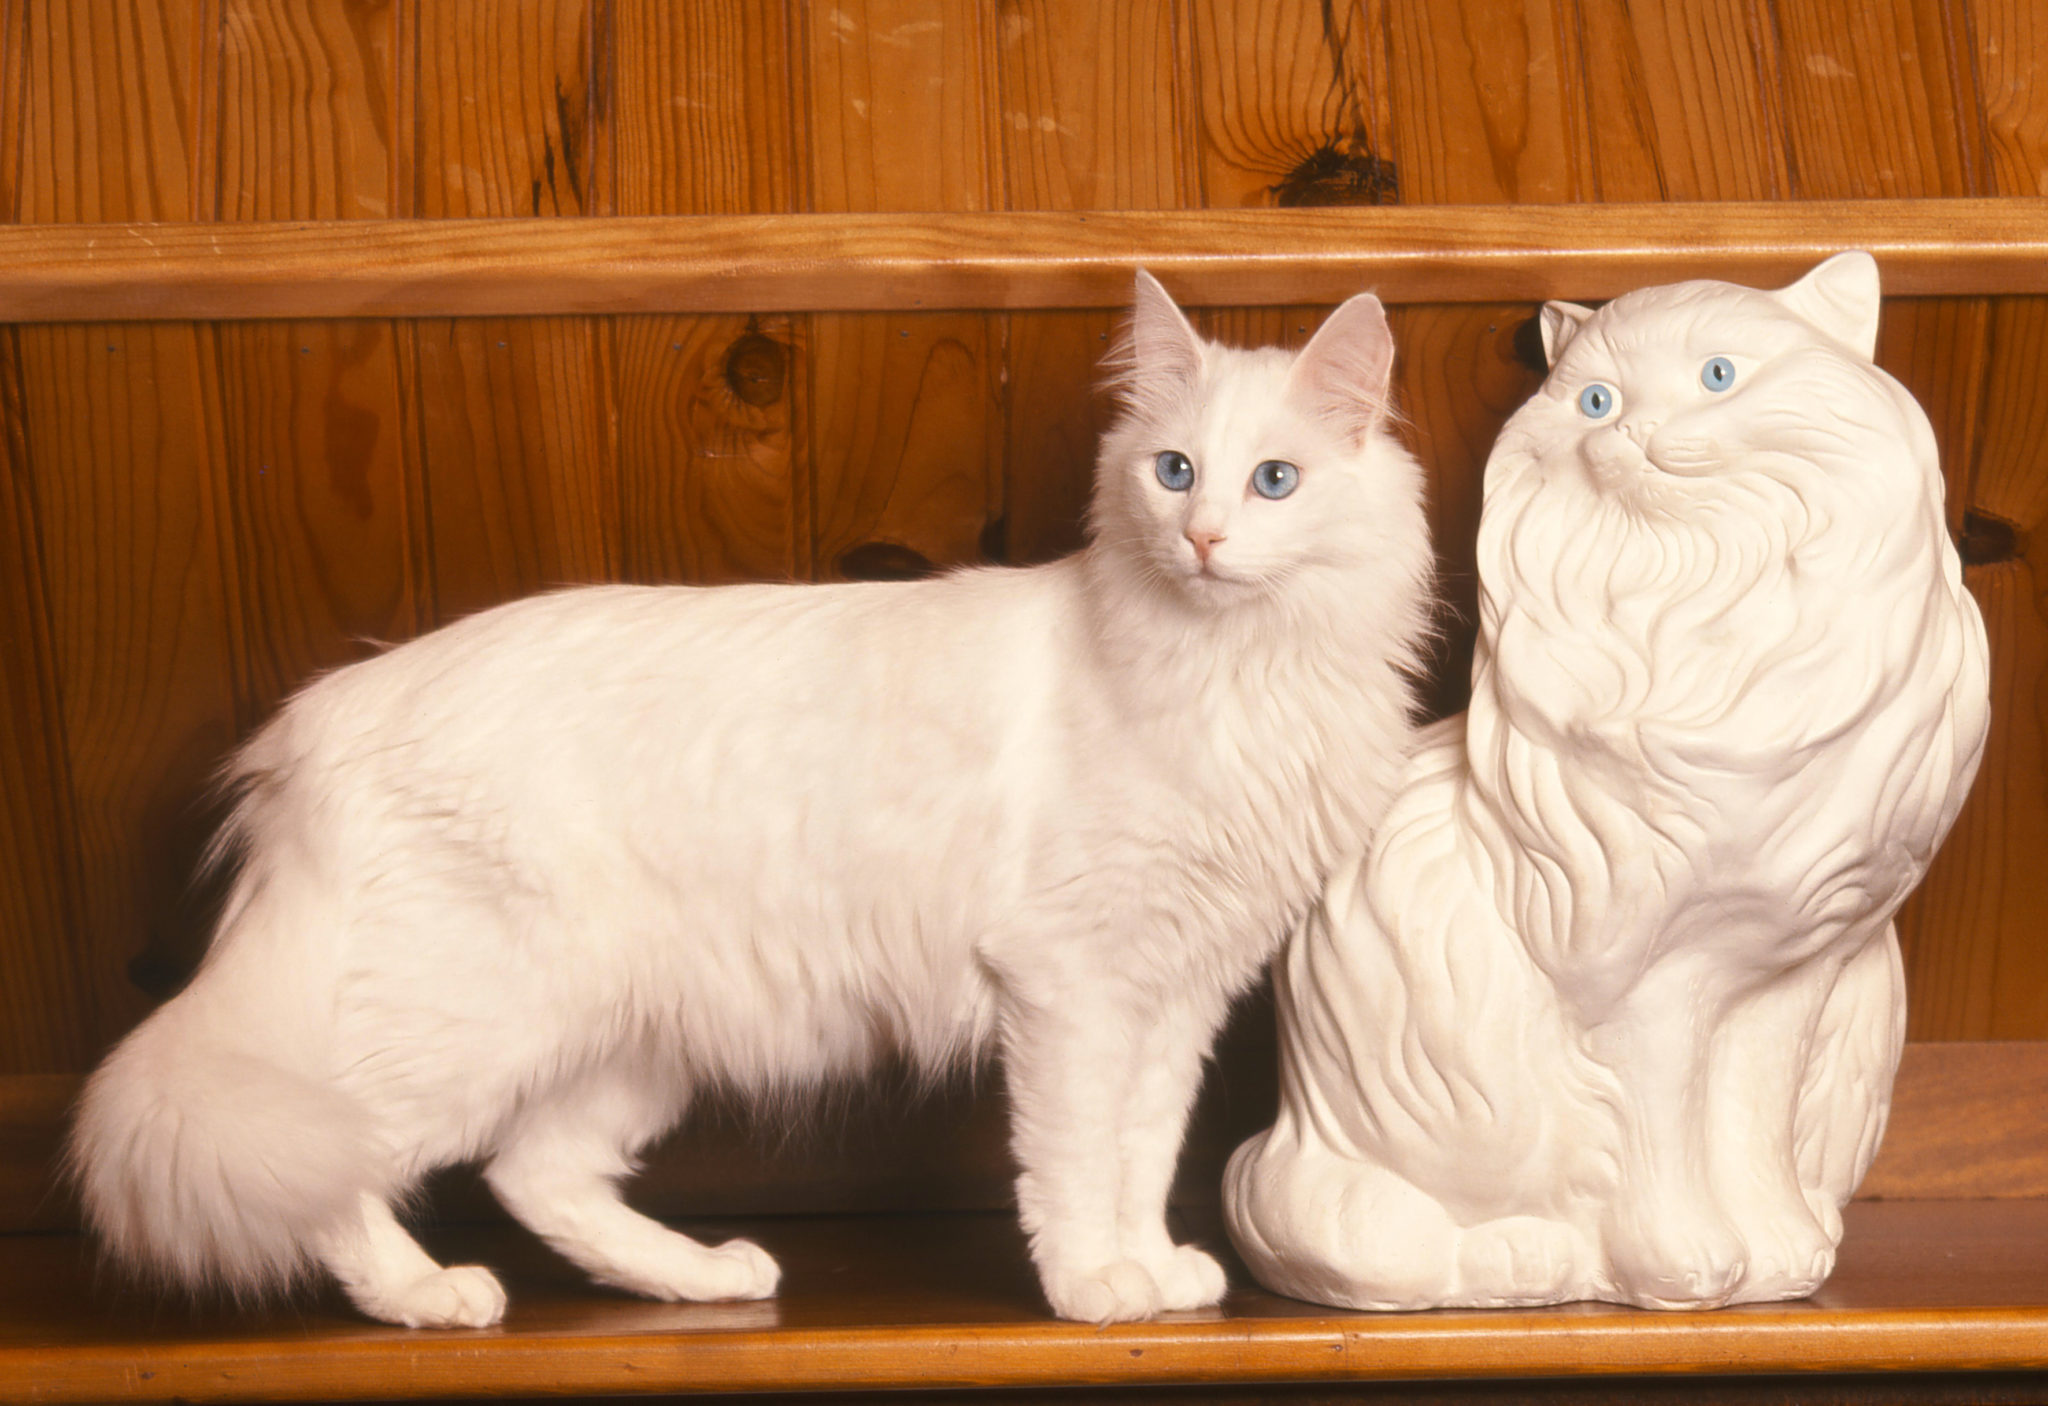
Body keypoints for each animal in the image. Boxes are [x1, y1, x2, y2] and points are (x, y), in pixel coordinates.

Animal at [72, 272, 1433, 1334]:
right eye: (1171, 471)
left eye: (1273, 481)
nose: (1200, 538)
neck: (1232, 675)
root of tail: (326, 715)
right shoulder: (1071, 983)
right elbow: (1073, 1154)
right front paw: (1094, 1283)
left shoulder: (1178, 989)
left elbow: (1144, 1147)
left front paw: (1151, 1266)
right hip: (472, 1017)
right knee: (330, 1163)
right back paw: (429, 1295)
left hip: (633, 1036)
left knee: (532, 1173)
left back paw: (701, 1276)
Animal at [1220, 250, 1990, 1309]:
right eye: (1594, 400)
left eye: (1718, 376)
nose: (1621, 429)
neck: (1710, 601)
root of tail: (1286, 1124)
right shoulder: (1642, 969)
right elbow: (1662, 1133)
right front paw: (1683, 1269)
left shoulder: (1798, 961)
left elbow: (1750, 1125)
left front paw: (1781, 1258)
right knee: (1359, 1232)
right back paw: (1527, 1260)